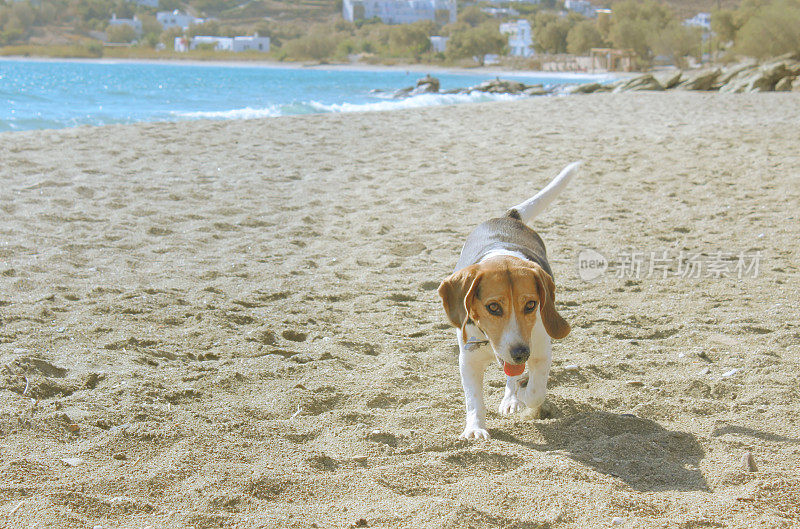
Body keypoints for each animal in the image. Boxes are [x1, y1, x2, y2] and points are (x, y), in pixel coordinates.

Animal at [438, 162, 580, 438]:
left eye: (531, 305)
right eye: (493, 307)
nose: (520, 353)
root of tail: (509, 217)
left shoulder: (540, 353)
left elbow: (535, 392)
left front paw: (523, 397)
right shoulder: (468, 360)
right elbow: (474, 400)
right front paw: (475, 428)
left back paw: (513, 399)